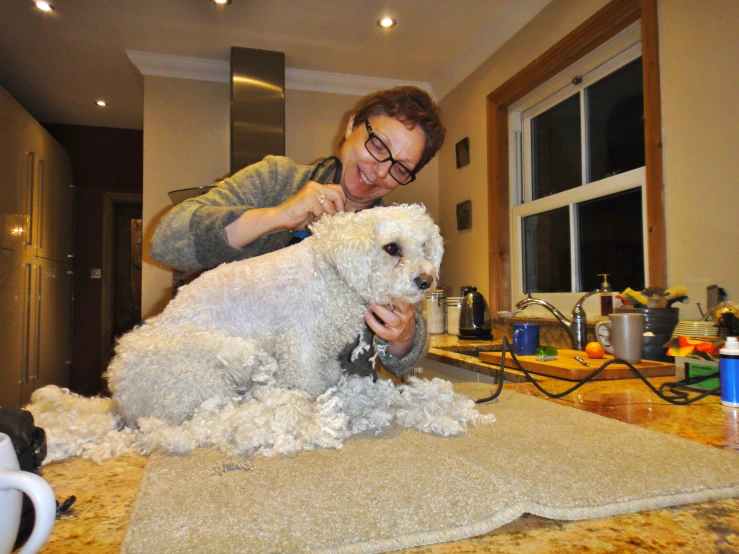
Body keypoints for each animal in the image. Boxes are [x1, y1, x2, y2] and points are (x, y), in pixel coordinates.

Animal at [106, 205, 442, 424]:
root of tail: (123, 395)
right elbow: (307, 383)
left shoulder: (320, 352)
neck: (332, 274)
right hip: (200, 374)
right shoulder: (300, 345)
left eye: (424, 245)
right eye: (391, 248)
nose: (426, 281)